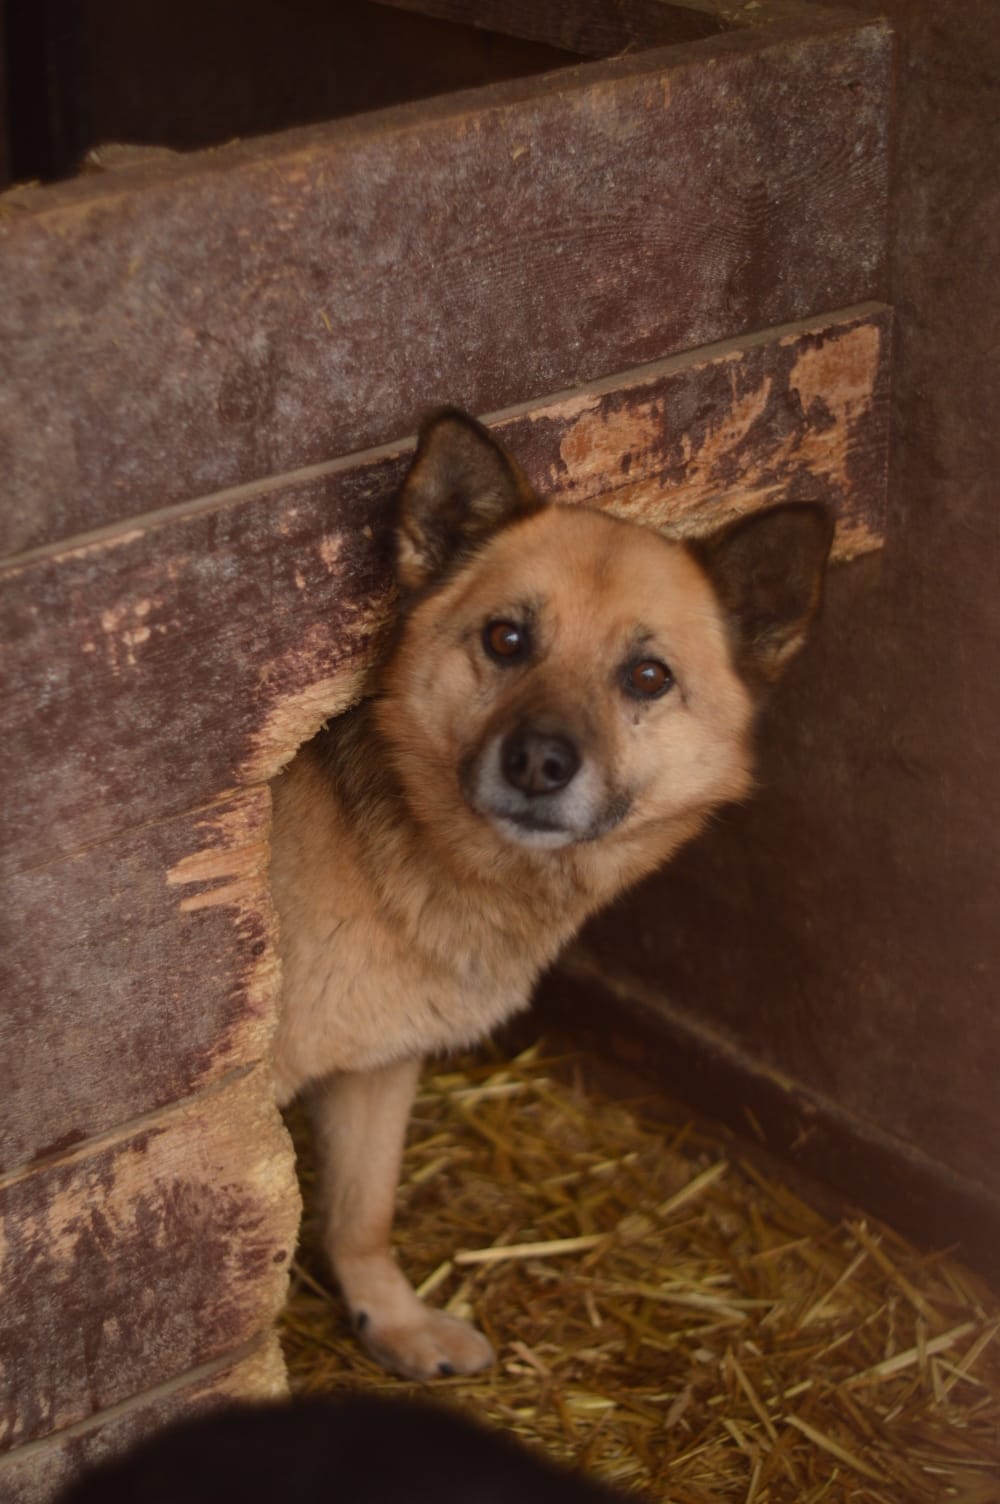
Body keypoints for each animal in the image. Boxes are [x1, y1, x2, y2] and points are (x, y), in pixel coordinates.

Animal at [267, 406, 836, 1377]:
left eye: (647, 677)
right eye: (507, 640)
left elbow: (362, 1213)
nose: (537, 762)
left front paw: (392, 1318)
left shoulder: (375, 1069)